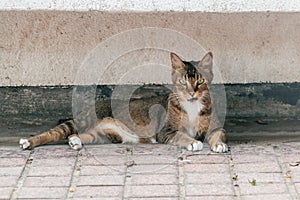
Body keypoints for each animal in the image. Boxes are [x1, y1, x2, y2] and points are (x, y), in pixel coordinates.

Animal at [19, 52, 227, 153]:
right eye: (183, 82)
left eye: (200, 81)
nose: (192, 92)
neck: (192, 106)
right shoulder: (166, 132)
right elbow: (182, 135)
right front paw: (193, 143)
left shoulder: (215, 127)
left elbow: (218, 134)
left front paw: (219, 145)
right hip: (81, 121)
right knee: (54, 132)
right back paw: (28, 142)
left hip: (107, 136)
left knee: (81, 135)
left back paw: (75, 141)